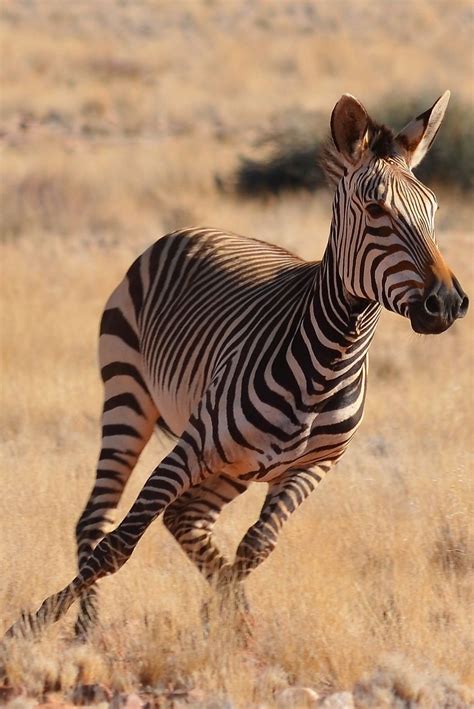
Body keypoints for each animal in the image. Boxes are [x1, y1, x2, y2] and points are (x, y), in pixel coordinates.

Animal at [5, 91, 468, 640]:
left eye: (433, 211)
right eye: (376, 210)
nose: (448, 302)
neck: (330, 359)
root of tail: (197, 228)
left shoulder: (314, 467)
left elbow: (256, 545)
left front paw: (228, 619)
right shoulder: (193, 446)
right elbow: (118, 545)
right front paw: (28, 627)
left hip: (234, 466)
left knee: (186, 519)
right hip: (127, 397)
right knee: (97, 520)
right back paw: (85, 628)